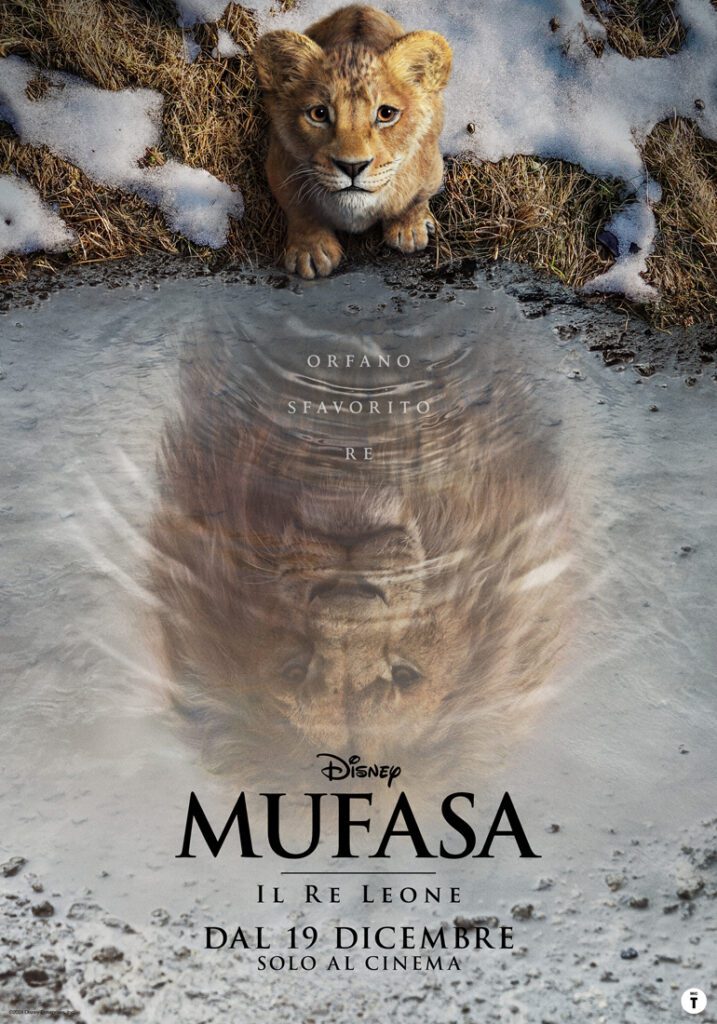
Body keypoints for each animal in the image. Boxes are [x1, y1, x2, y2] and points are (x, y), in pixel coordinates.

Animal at [253, 5, 452, 279]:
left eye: (386, 114)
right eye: (319, 114)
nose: (352, 167)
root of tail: (359, 7)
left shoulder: (431, 166)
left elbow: (415, 199)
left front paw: (409, 229)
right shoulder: (280, 166)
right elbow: (300, 210)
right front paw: (311, 251)